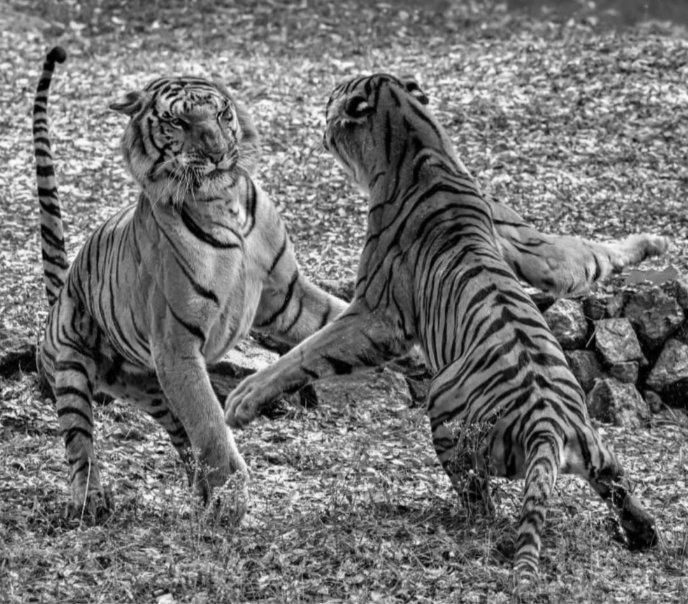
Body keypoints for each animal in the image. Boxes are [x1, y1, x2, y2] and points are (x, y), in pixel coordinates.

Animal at [33, 46, 347, 519]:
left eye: (222, 114)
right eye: (178, 123)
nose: (217, 152)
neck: (224, 200)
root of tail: (61, 294)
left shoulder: (284, 294)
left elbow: (338, 317)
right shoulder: (177, 343)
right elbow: (210, 423)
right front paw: (232, 498)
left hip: (152, 389)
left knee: (181, 437)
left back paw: (198, 492)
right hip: (72, 370)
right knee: (80, 443)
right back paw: (90, 502)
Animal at [224, 74, 659, 584]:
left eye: (336, 95)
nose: (324, 109)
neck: (421, 143)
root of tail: (548, 428)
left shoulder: (378, 313)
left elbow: (308, 351)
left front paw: (243, 400)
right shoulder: (532, 248)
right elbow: (584, 257)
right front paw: (652, 243)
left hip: (445, 408)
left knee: (480, 504)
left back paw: (448, 516)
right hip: (599, 451)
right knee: (619, 486)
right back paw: (643, 532)